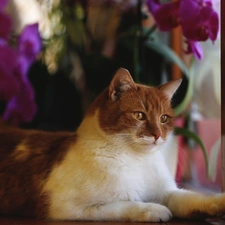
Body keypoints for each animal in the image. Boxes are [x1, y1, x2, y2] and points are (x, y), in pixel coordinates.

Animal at [0, 68, 224, 221]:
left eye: (163, 118)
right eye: (139, 115)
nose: (157, 135)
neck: (137, 160)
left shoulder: (167, 192)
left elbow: (191, 198)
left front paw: (217, 202)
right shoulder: (62, 206)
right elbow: (125, 205)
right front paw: (153, 209)